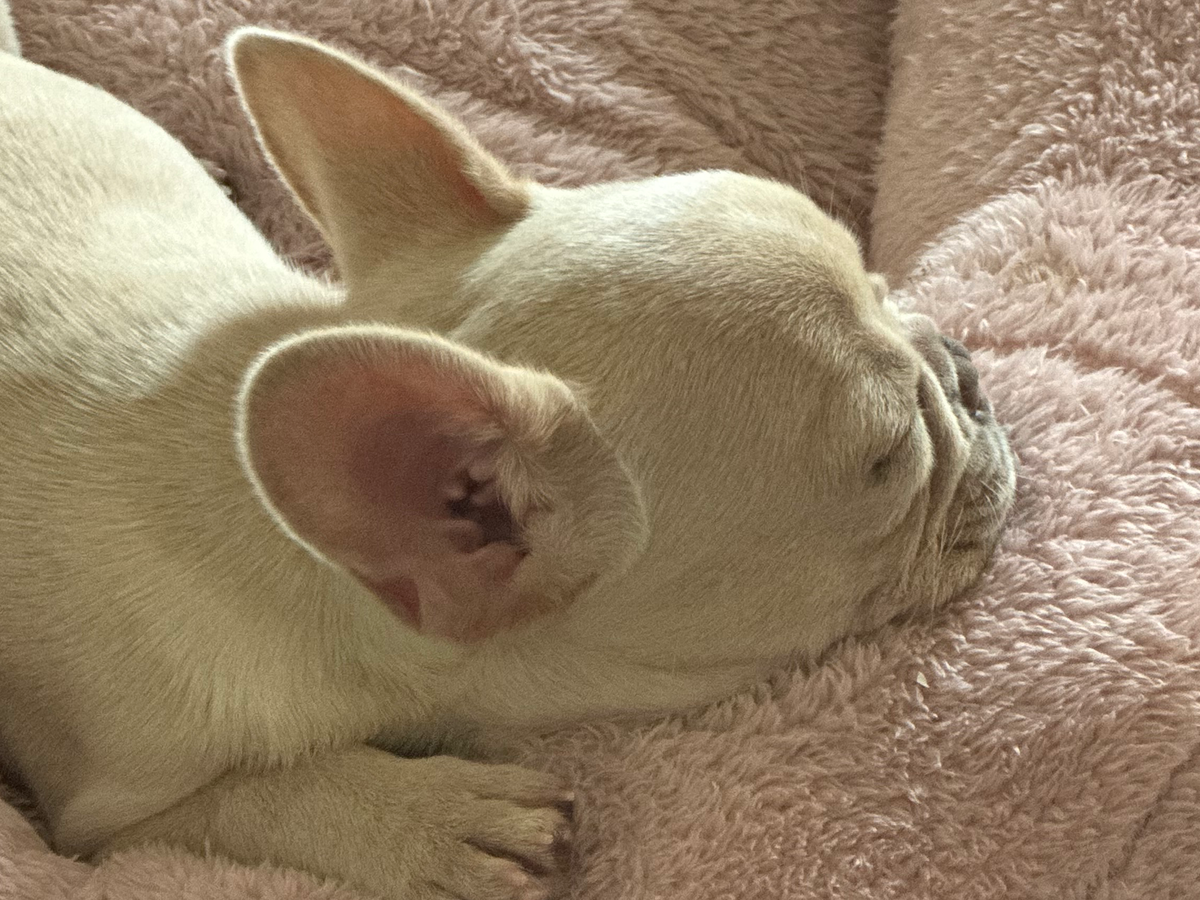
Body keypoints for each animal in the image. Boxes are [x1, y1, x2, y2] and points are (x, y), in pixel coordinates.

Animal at [0, 15, 1017, 900]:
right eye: (892, 456)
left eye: (884, 281)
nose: (964, 369)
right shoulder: (106, 818)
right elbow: (249, 803)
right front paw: (431, 823)